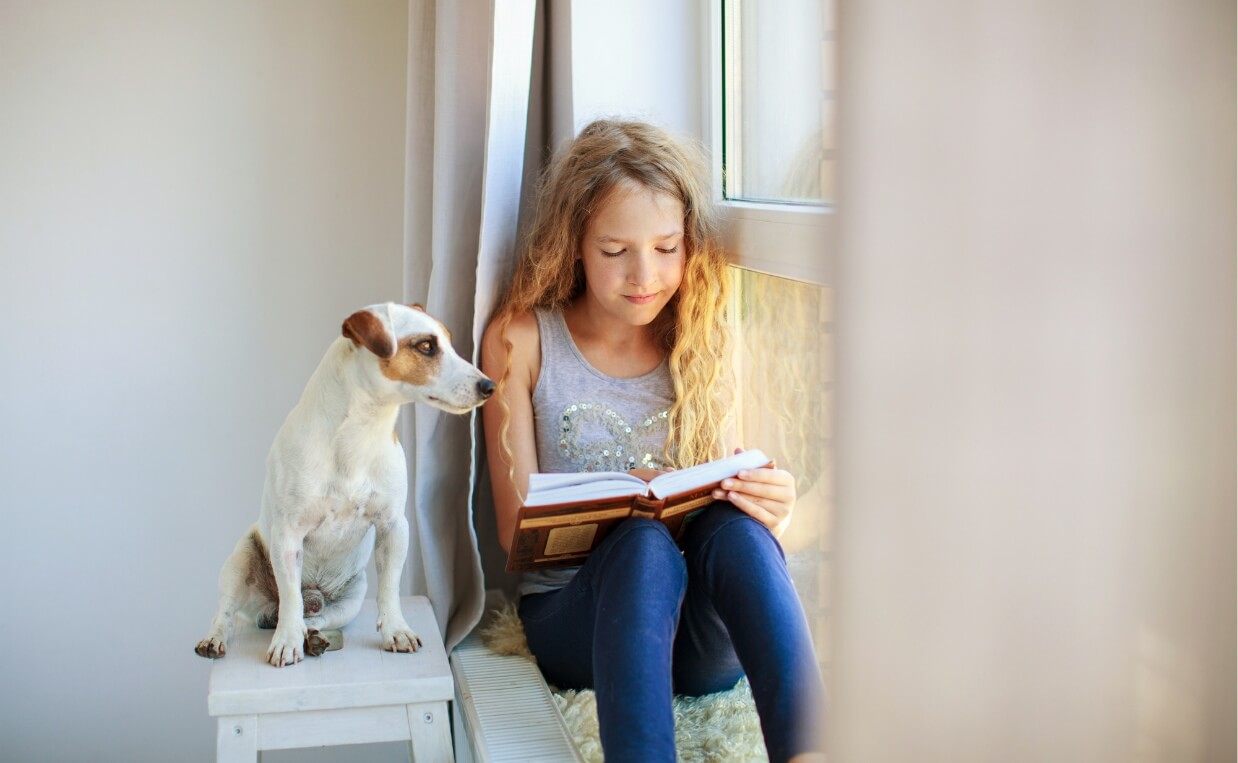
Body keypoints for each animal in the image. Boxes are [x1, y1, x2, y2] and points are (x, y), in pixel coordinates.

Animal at [193, 303, 492, 668]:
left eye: (449, 341)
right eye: (426, 346)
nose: (490, 385)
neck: (360, 434)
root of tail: (268, 612)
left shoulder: (394, 526)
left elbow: (390, 590)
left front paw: (396, 630)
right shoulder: (288, 535)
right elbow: (290, 598)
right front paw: (286, 642)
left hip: (350, 599)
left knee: (316, 619)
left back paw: (314, 637)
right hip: (240, 561)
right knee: (236, 612)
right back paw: (218, 638)